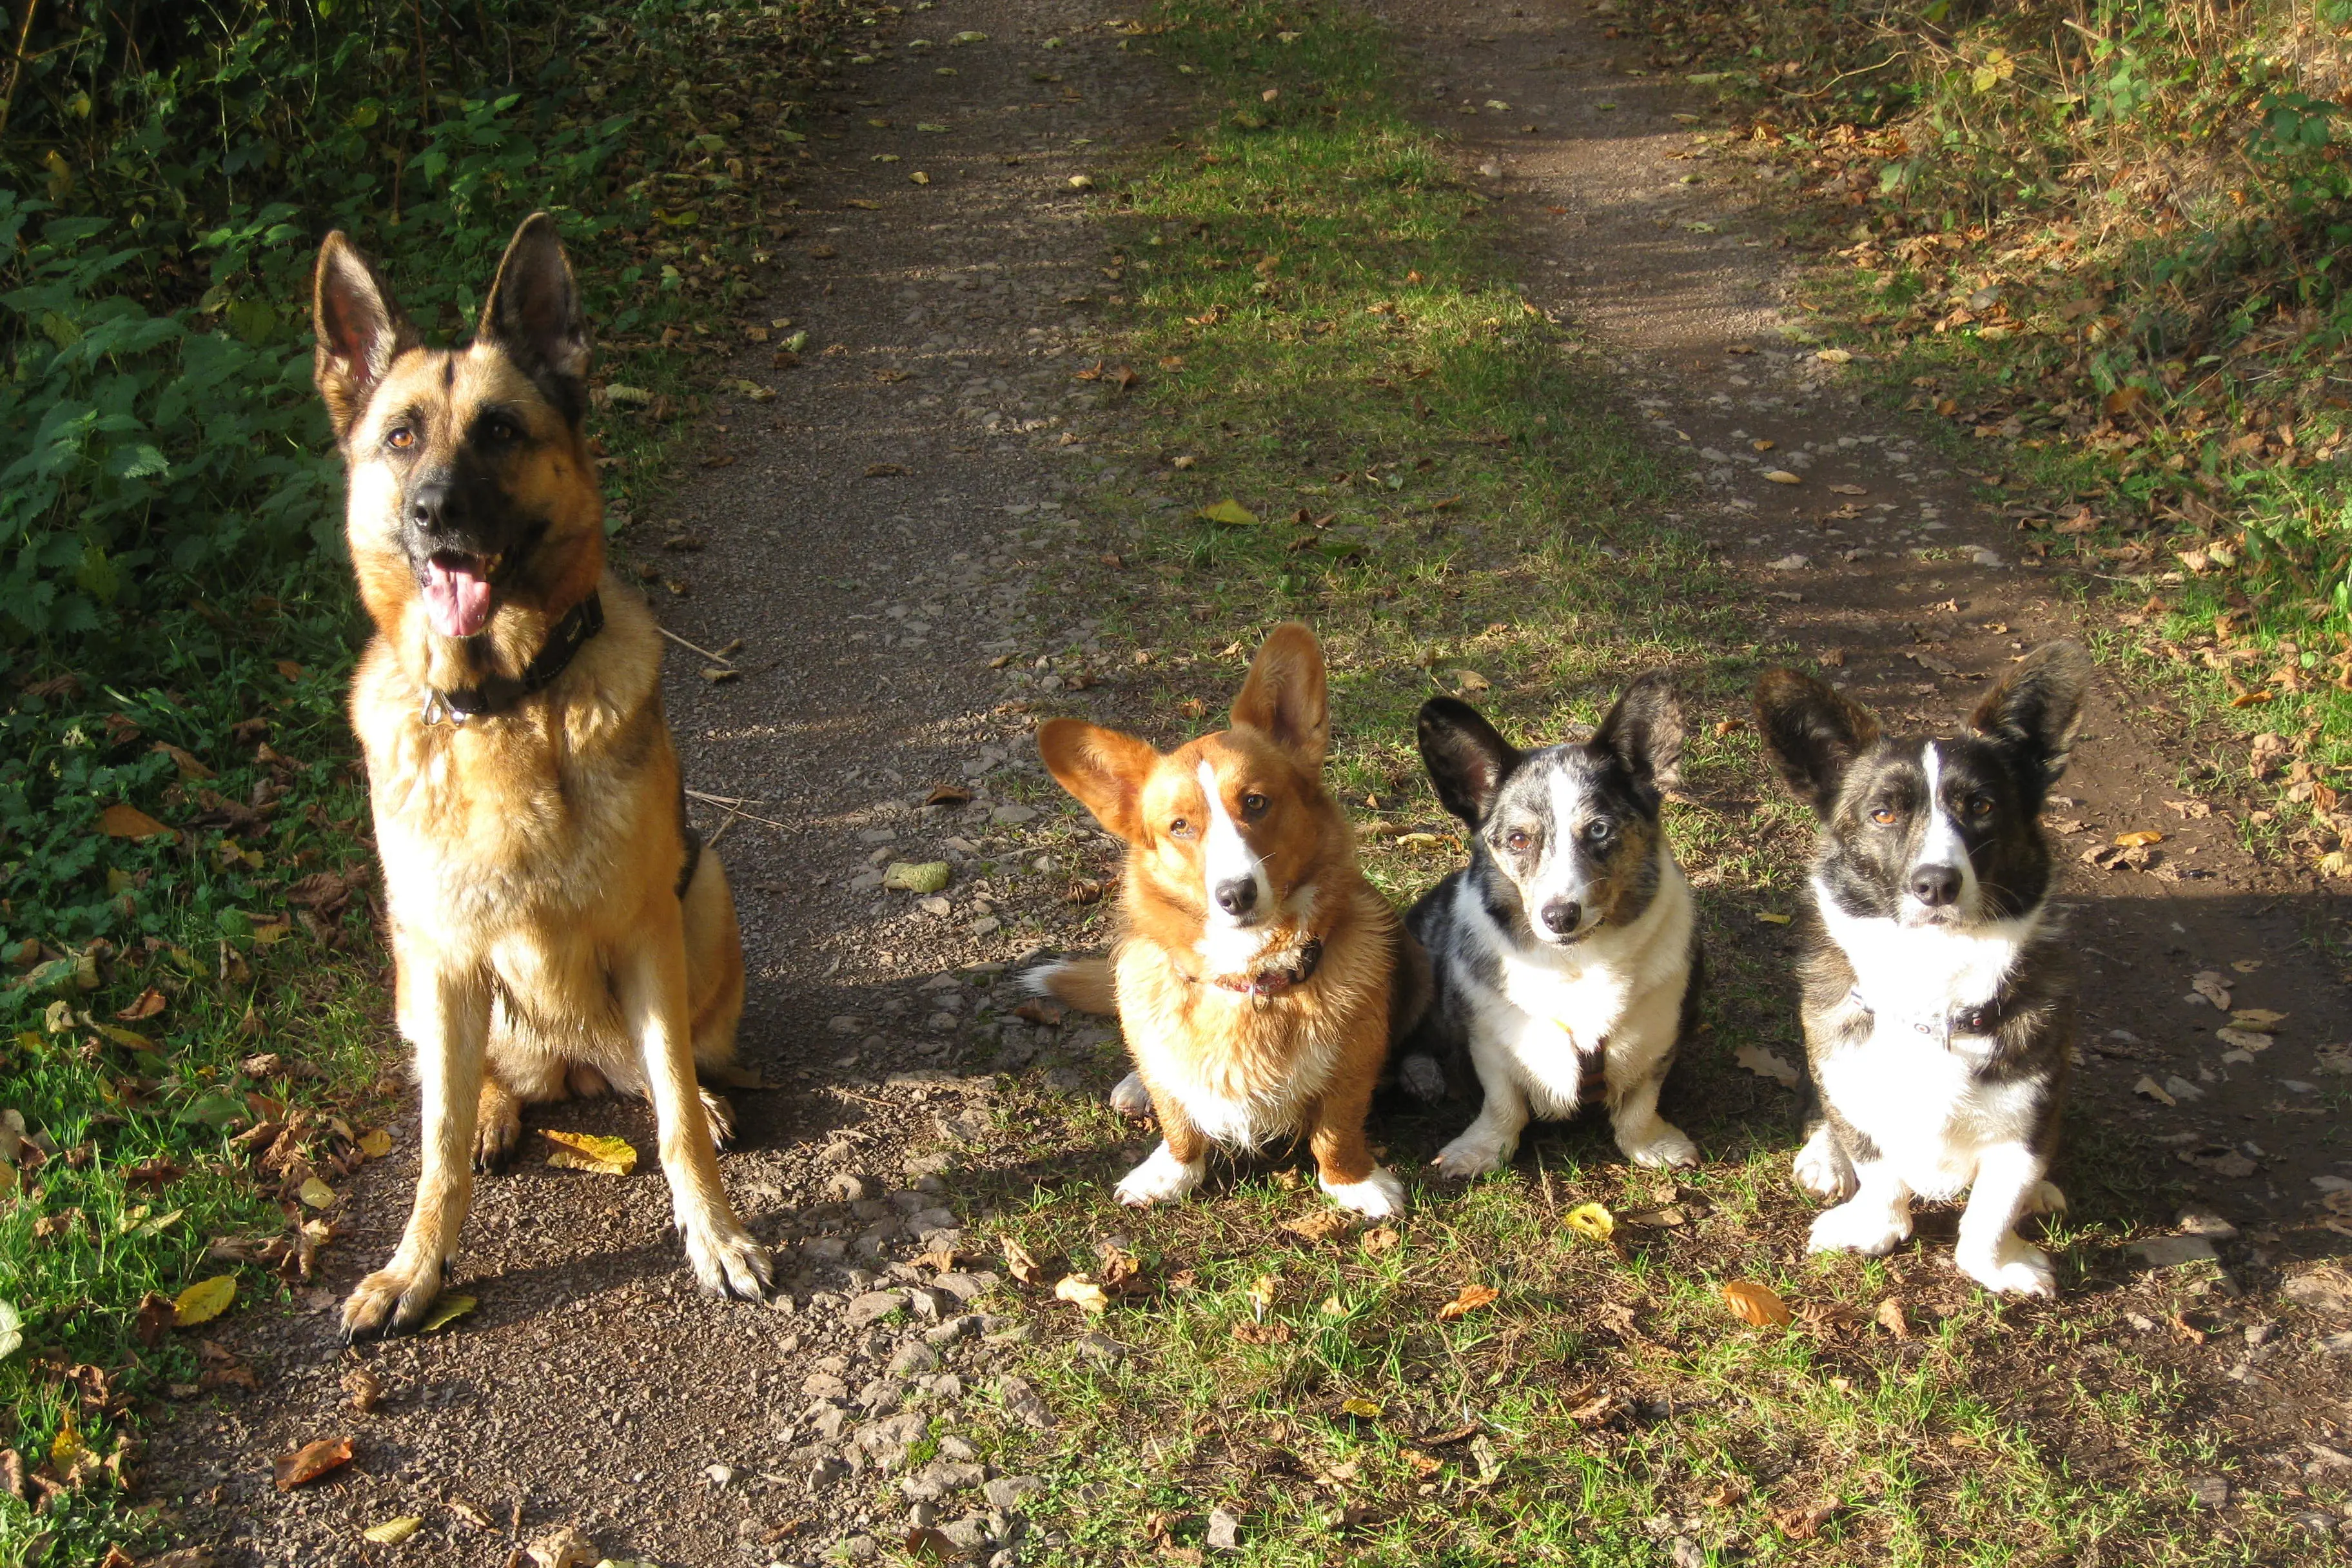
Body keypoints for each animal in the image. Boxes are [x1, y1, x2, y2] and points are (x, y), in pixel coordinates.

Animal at [313, 211, 767, 1335]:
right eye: (400, 437)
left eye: (501, 432)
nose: (434, 513)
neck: (505, 707)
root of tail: (570, 1067)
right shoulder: (440, 953)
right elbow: (431, 1152)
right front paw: (416, 1269)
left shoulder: (646, 929)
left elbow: (674, 1114)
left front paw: (717, 1235)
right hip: (411, 961)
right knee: (470, 1082)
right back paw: (491, 1107)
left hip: (704, 889)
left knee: (665, 1070)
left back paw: (703, 1095)